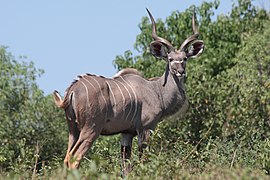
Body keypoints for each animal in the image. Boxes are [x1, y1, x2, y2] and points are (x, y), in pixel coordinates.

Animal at [53, 8, 205, 176]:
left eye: (185, 58)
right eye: (170, 59)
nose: (180, 72)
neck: (157, 90)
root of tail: (72, 90)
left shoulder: (126, 133)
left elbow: (126, 166)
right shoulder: (146, 128)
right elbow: (143, 160)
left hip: (73, 130)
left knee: (66, 158)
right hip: (91, 129)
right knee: (74, 158)